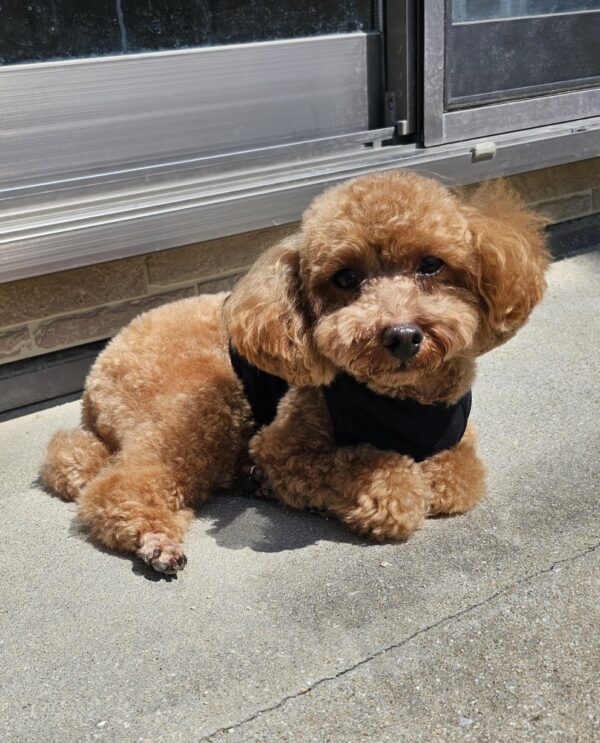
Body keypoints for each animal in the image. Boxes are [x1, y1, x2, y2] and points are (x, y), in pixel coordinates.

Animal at [42, 171, 549, 573]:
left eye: (430, 265)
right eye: (345, 278)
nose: (402, 335)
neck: (398, 400)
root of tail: (100, 365)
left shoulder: (457, 444)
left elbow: (457, 480)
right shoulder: (282, 447)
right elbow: (387, 482)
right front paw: (388, 486)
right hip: (208, 405)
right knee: (119, 484)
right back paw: (157, 539)